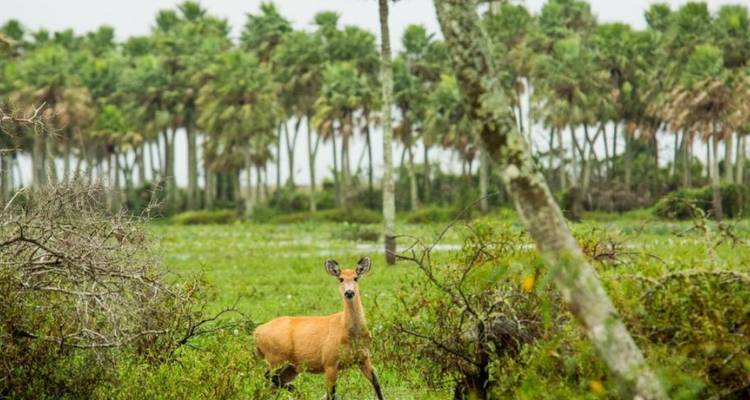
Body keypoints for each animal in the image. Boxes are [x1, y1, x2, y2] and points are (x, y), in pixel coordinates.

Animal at [253, 257, 384, 400]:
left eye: (356, 278)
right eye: (341, 279)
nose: (349, 292)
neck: (350, 334)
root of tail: (257, 332)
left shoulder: (364, 358)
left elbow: (377, 383)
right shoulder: (330, 362)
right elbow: (331, 393)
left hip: (291, 367)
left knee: (270, 383)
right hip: (275, 357)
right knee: (268, 377)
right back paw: (297, 391)